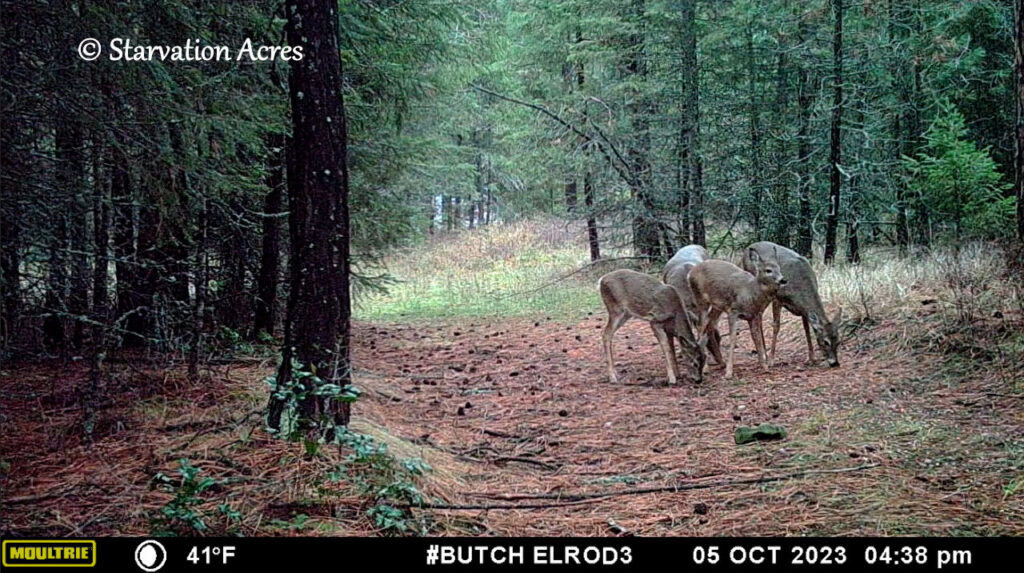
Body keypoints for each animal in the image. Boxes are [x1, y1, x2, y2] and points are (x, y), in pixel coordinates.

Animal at [684, 248, 786, 378]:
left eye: (779, 268)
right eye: (768, 270)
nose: (783, 280)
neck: (750, 292)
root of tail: (690, 274)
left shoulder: (753, 315)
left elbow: (756, 337)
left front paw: (765, 366)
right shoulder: (733, 310)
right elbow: (732, 338)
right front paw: (729, 372)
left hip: (717, 307)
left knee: (709, 326)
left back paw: (720, 362)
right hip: (701, 300)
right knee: (700, 327)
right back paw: (706, 367)